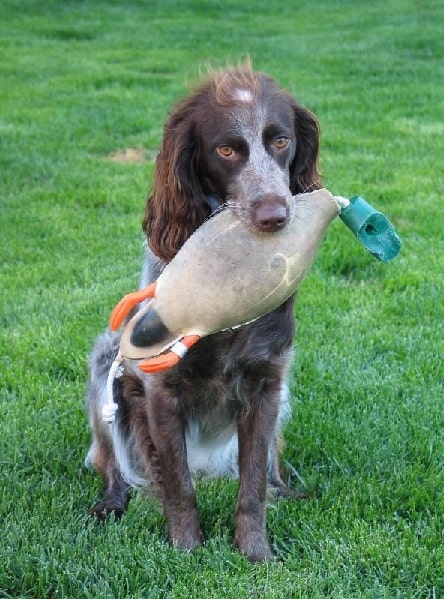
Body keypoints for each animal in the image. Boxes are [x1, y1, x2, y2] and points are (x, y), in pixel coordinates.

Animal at [86, 62, 320, 564]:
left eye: (281, 141)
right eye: (226, 150)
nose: (275, 216)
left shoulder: (268, 381)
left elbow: (252, 486)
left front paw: (256, 554)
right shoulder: (161, 388)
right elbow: (178, 485)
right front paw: (186, 551)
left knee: (269, 470)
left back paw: (287, 491)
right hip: (105, 365)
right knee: (111, 463)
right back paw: (111, 503)